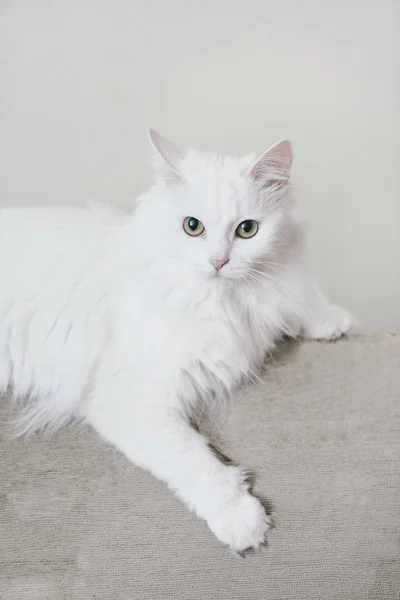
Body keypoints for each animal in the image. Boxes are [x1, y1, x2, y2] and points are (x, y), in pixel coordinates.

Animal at [0, 131, 354, 552]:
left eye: (247, 230)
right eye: (192, 226)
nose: (218, 262)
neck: (222, 303)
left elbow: (294, 306)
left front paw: (333, 320)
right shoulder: (131, 399)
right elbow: (197, 461)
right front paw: (240, 520)